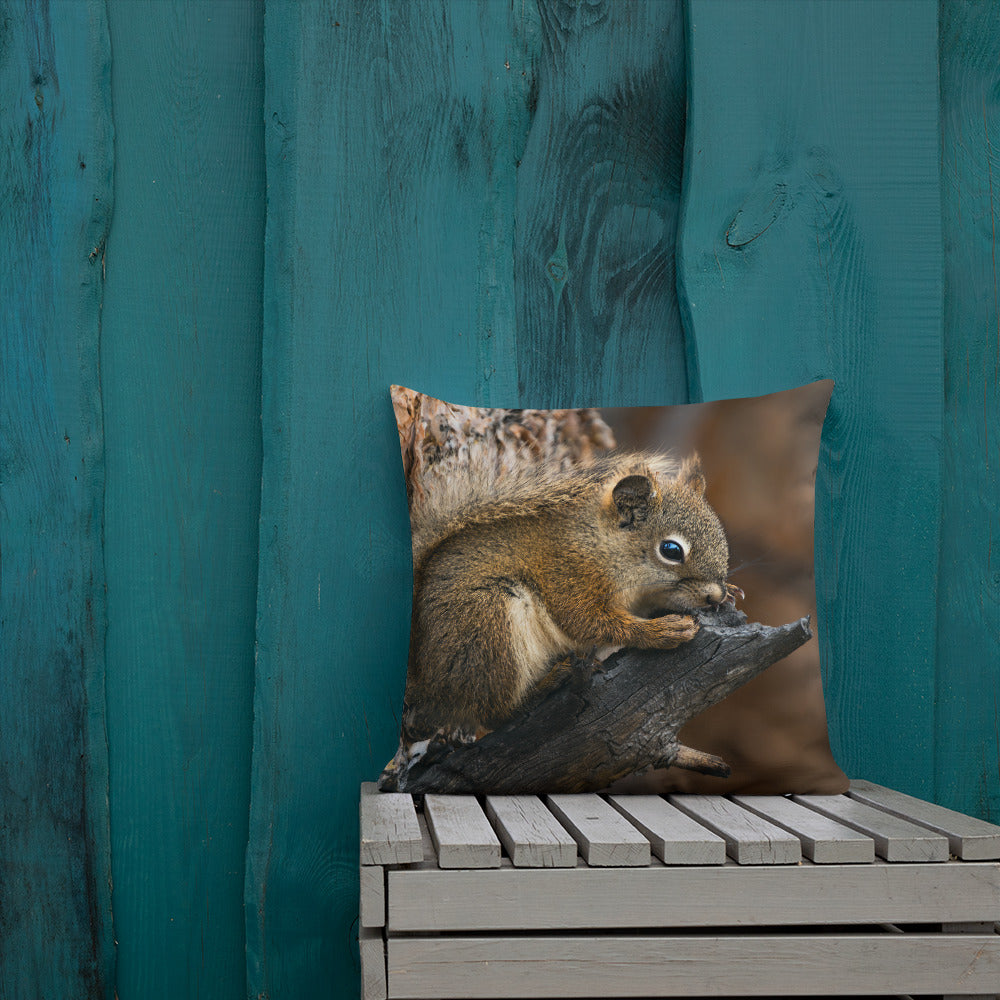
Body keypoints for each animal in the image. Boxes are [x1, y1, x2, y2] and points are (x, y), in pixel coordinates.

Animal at [400, 451, 733, 743]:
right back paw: (547, 684)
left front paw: (731, 593)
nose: (714, 596)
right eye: (671, 550)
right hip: (488, 626)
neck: (602, 544)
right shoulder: (568, 574)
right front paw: (662, 631)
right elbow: (585, 621)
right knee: (494, 712)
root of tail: (428, 683)